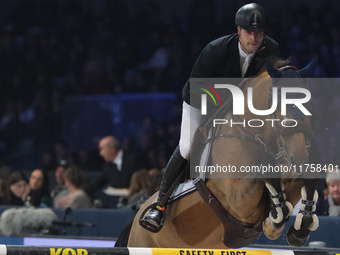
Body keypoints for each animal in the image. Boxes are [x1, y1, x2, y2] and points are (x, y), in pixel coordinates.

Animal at [127, 56, 318, 248]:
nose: (300, 157)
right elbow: (266, 180)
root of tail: (134, 223)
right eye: (279, 105)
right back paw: (154, 216)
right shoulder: (240, 199)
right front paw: (274, 221)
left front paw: (297, 230)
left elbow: (304, 183)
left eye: (309, 103)